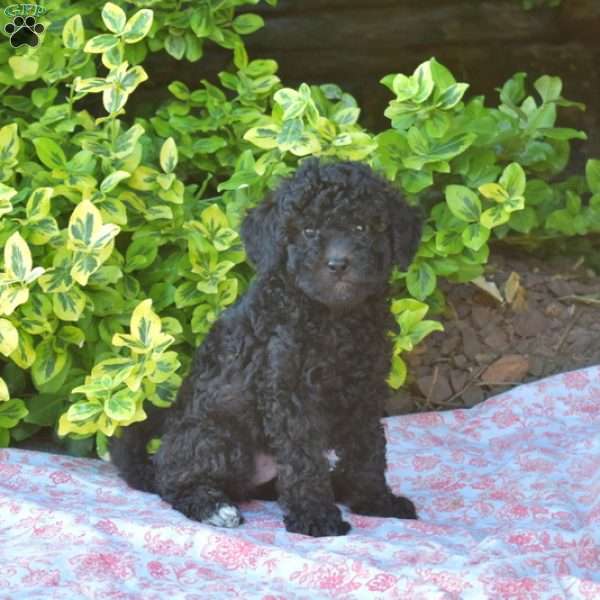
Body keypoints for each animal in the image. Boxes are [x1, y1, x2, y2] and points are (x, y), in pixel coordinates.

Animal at [111, 157, 422, 536]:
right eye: (308, 230)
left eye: (362, 227)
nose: (338, 264)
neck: (335, 317)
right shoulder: (289, 392)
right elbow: (304, 461)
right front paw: (316, 517)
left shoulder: (367, 389)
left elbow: (368, 451)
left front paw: (376, 501)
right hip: (219, 437)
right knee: (176, 481)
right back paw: (213, 506)